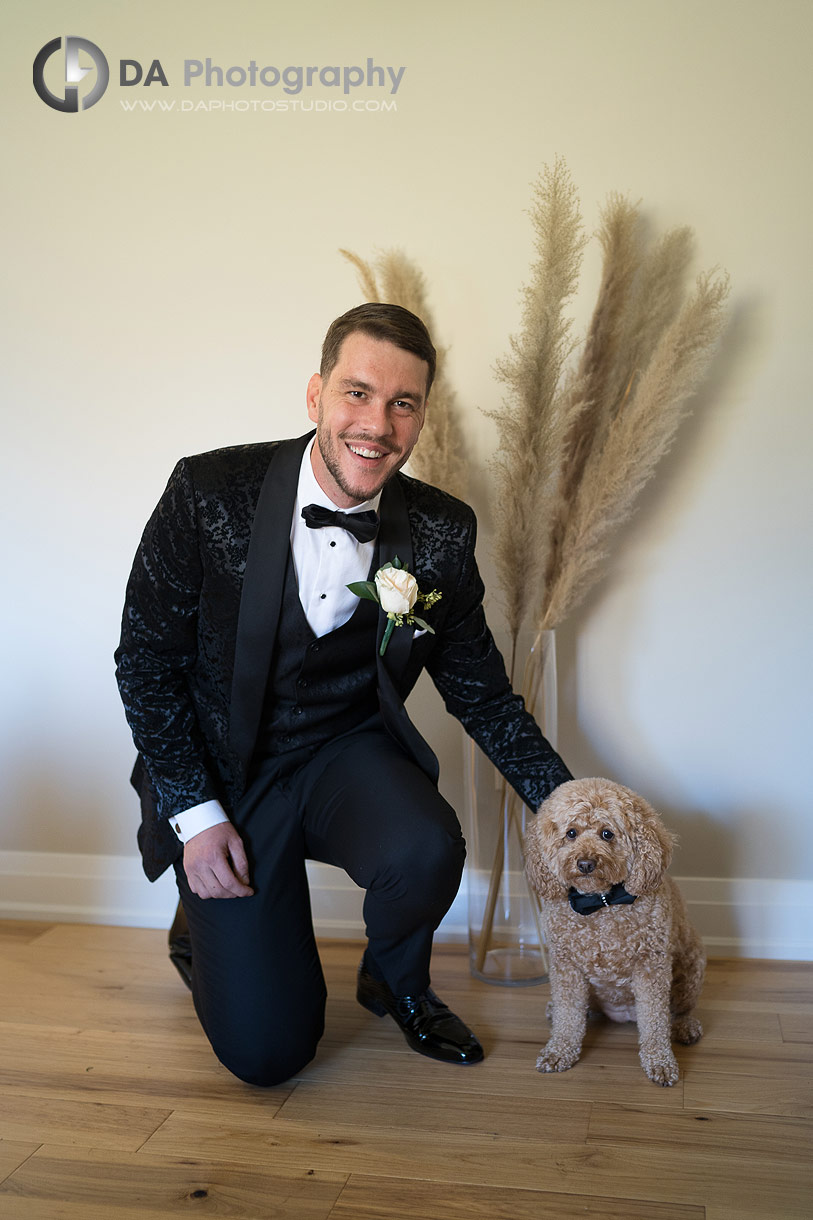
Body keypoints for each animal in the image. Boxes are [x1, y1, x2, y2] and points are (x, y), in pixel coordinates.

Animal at [524, 775, 703, 1083]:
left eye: (607, 834)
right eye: (571, 833)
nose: (585, 863)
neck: (601, 903)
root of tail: (623, 1014)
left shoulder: (651, 967)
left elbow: (655, 1021)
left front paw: (660, 1062)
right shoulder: (566, 968)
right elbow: (568, 1016)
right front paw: (559, 1050)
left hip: (692, 964)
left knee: (679, 1009)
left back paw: (685, 1027)